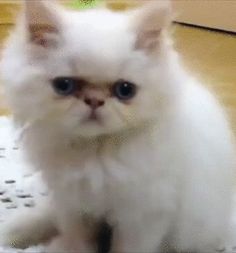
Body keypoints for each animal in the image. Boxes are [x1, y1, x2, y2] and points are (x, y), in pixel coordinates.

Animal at [0, 0, 235, 251]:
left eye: (125, 90)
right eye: (64, 85)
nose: (94, 101)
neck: (96, 152)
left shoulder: (142, 215)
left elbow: (127, 247)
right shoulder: (75, 205)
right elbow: (79, 239)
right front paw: (73, 248)